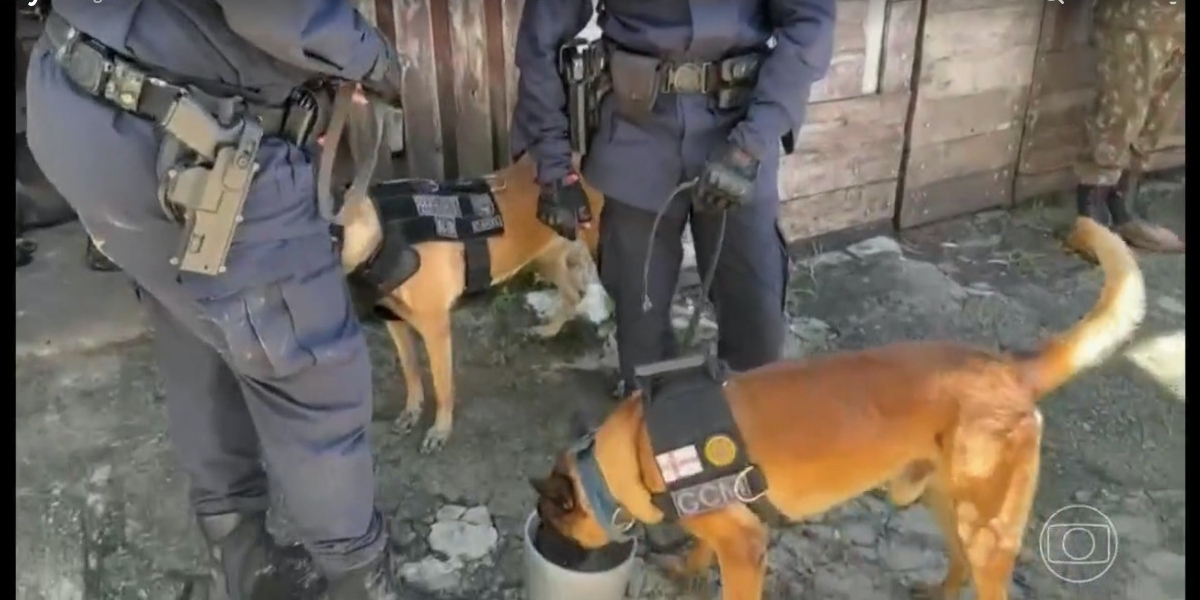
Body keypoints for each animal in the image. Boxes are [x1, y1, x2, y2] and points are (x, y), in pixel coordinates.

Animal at [336, 138, 600, 451]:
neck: (381, 232)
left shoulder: (436, 328)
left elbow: (442, 386)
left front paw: (440, 431)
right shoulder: (395, 323)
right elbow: (411, 371)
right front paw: (411, 412)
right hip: (544, 256)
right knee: (572, 294)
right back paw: (548, 330)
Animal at [535, 217, 1142, 600]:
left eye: (549, 520)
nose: (546, 548)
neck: (636, 450)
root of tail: (1009, 369)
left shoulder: (746, 547)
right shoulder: (730, 525)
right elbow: (702, 549)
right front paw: (687, 569)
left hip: (985, 527)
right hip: (947, 503)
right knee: (958, 562)